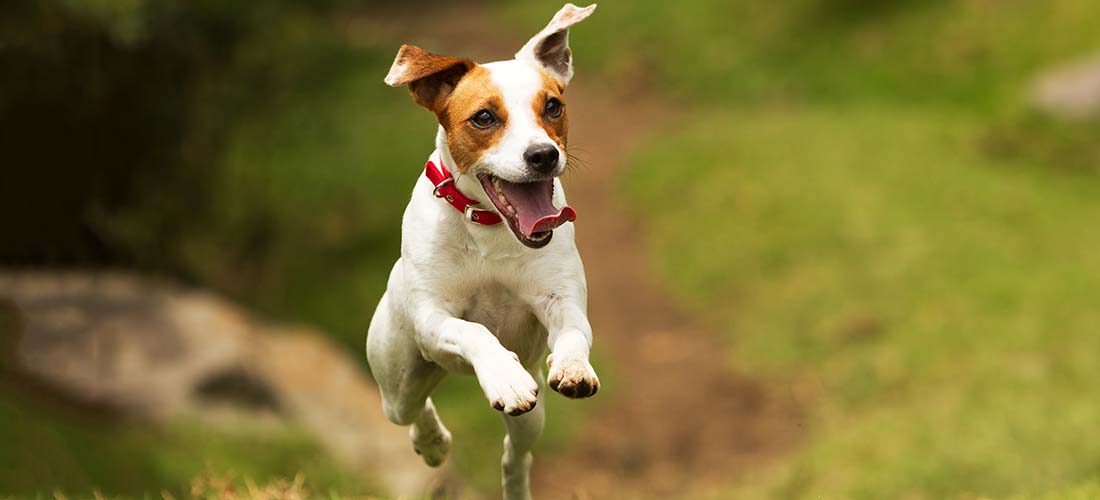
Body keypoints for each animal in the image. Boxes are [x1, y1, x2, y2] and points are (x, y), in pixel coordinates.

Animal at [365, 3, 598, 500]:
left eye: (553, 106)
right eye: (485, 117)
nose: (543, 155)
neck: (491, 230)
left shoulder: (561, 300)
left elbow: (573, 333)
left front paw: (573, 366)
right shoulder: (433, 317)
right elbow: (474, 332)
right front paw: (504, 377)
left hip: (532, 416)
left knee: (516, 453)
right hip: (398, 377)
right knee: (412, 409)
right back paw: (432, 443)